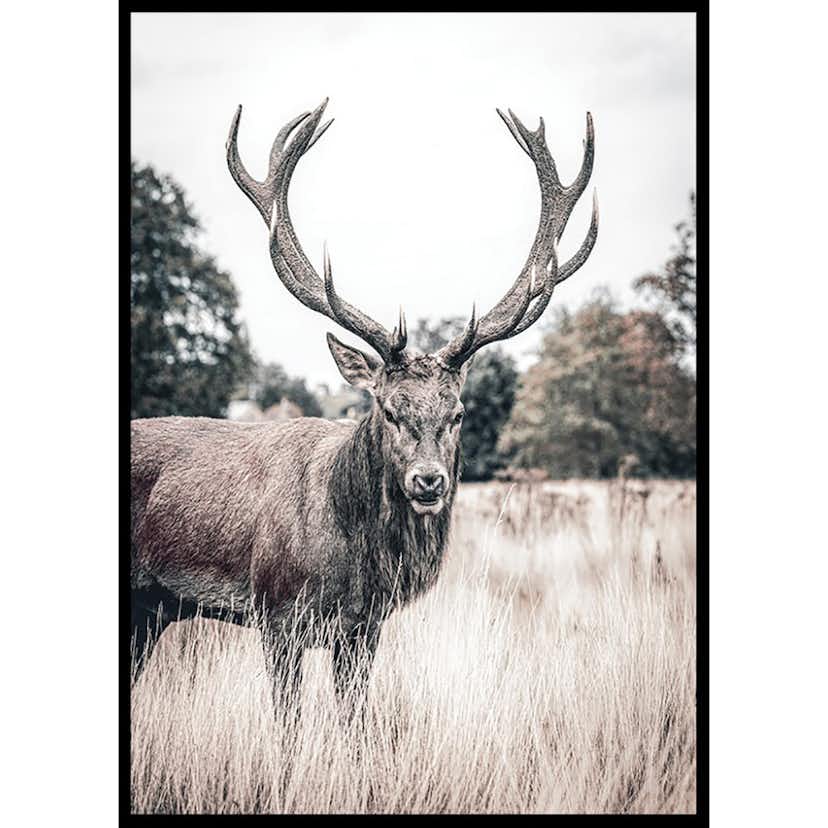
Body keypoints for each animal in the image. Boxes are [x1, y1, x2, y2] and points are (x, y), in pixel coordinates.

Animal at [130, 99, 598, 716]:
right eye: (389, 409)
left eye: (458, 413)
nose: (428, 481)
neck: (355, 563)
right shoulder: (277, 613)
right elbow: (289, 722)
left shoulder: (364, 626)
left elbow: (354, 719)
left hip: (150, 609)